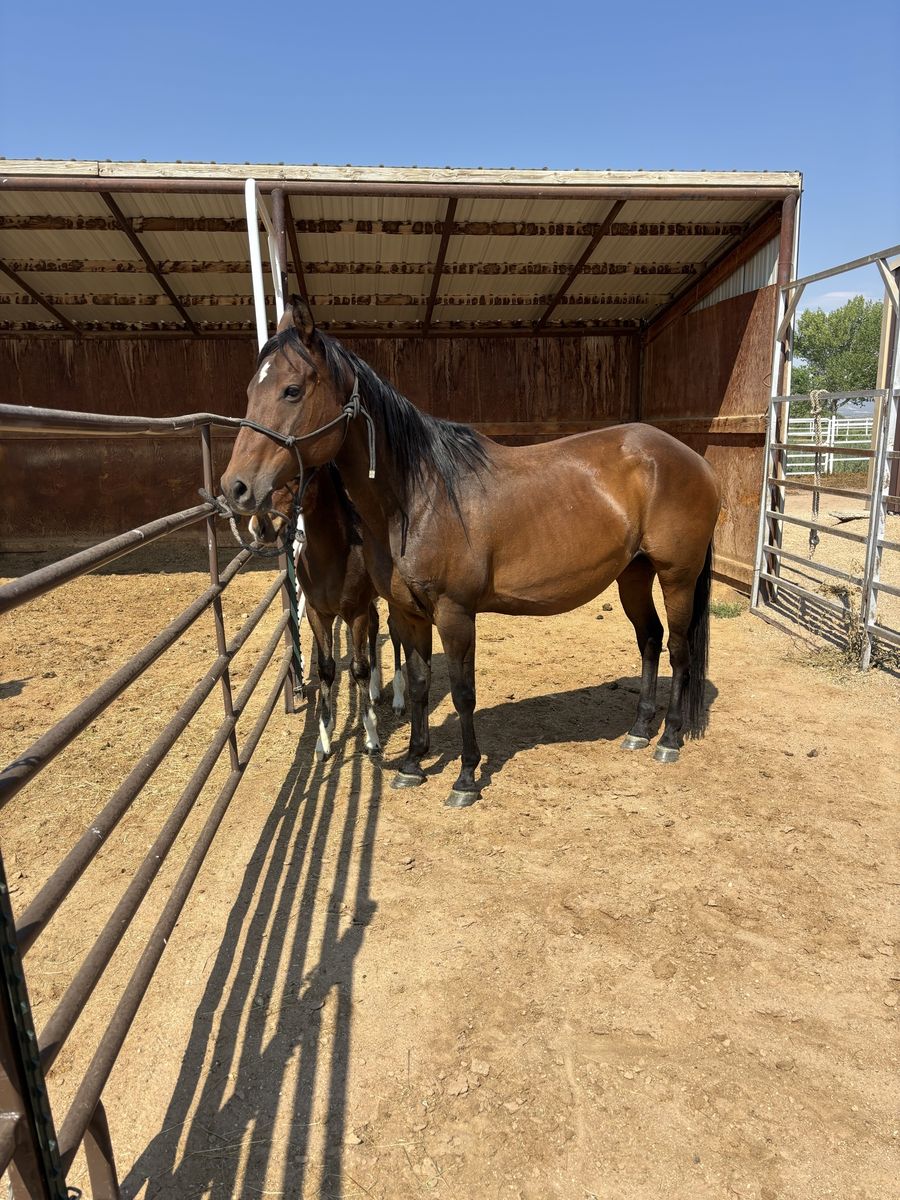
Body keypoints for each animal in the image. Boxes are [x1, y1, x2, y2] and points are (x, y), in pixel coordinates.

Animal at [248, 466, 405, 761]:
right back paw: (376, 691)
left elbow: (358, 668)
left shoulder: (354, 613)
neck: (333, 556)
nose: (259, 526)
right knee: (376, 626)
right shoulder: (317, 613)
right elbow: (326, 669)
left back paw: (400, 699)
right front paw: (324, 738)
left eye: (294, 475)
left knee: (396, 632)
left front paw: (372, 738)